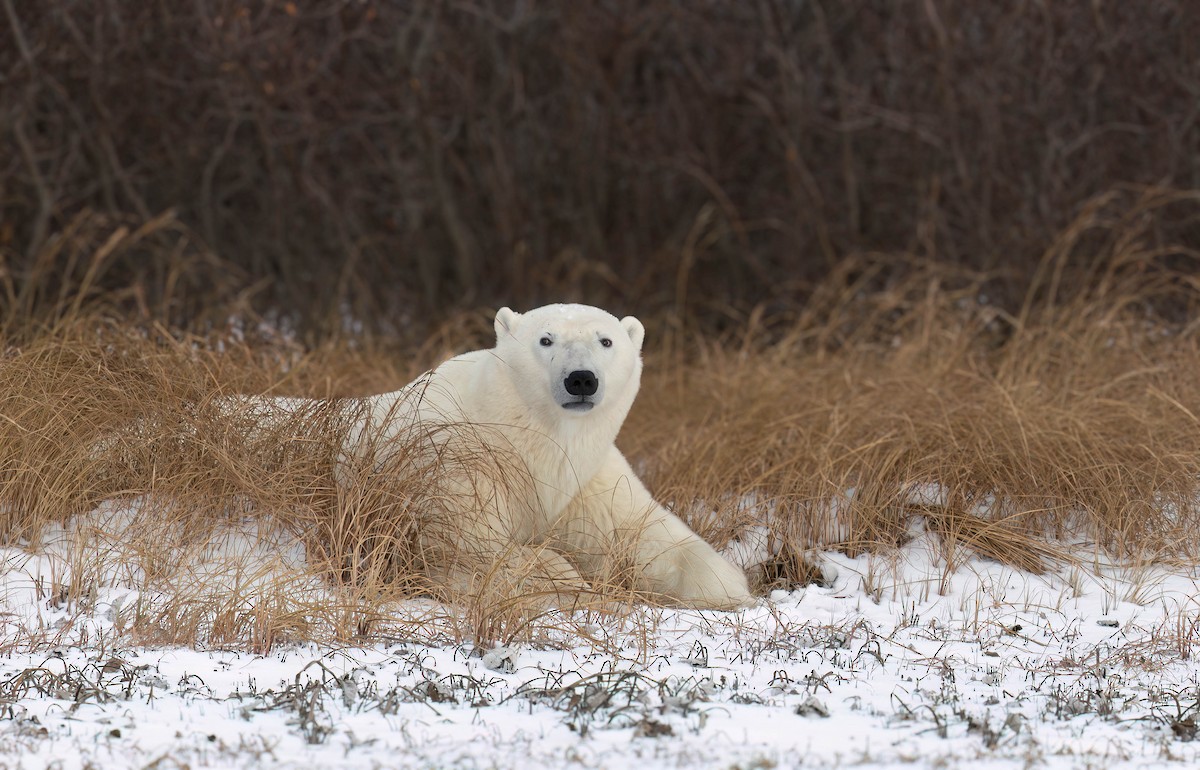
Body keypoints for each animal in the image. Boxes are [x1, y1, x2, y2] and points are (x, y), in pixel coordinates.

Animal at [339, 303, 754, 611]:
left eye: (606, 340)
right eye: (546, 339)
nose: (581, 378)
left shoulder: (585, 482)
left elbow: (645, 533)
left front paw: (731, 588)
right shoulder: (456, 465)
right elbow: (467, 550)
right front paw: (573, 586)